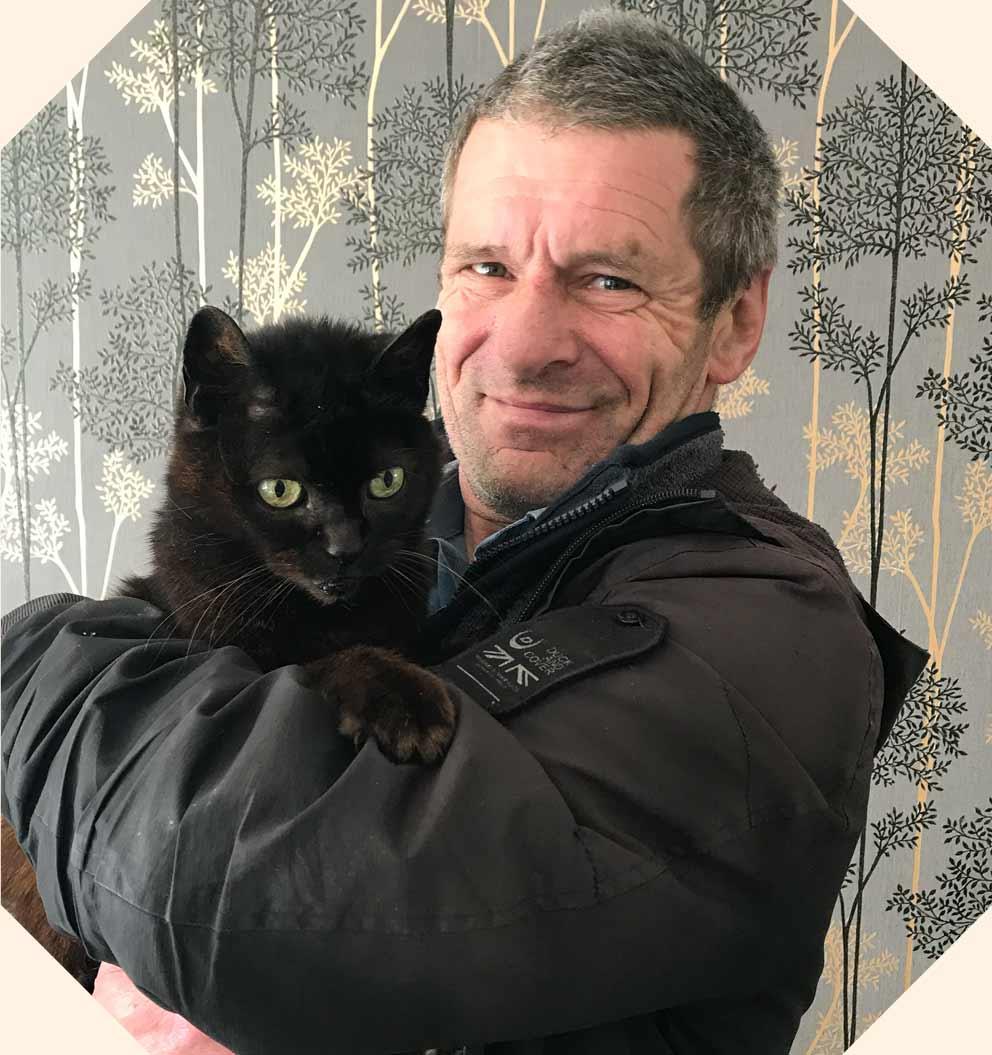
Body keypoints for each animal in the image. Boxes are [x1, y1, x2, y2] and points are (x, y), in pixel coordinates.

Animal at [0, 303, 458, 987]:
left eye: (387, 481)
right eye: (281, 490)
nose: (346, 548)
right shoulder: (218, 639)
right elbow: (323, 660)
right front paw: (403, 699)